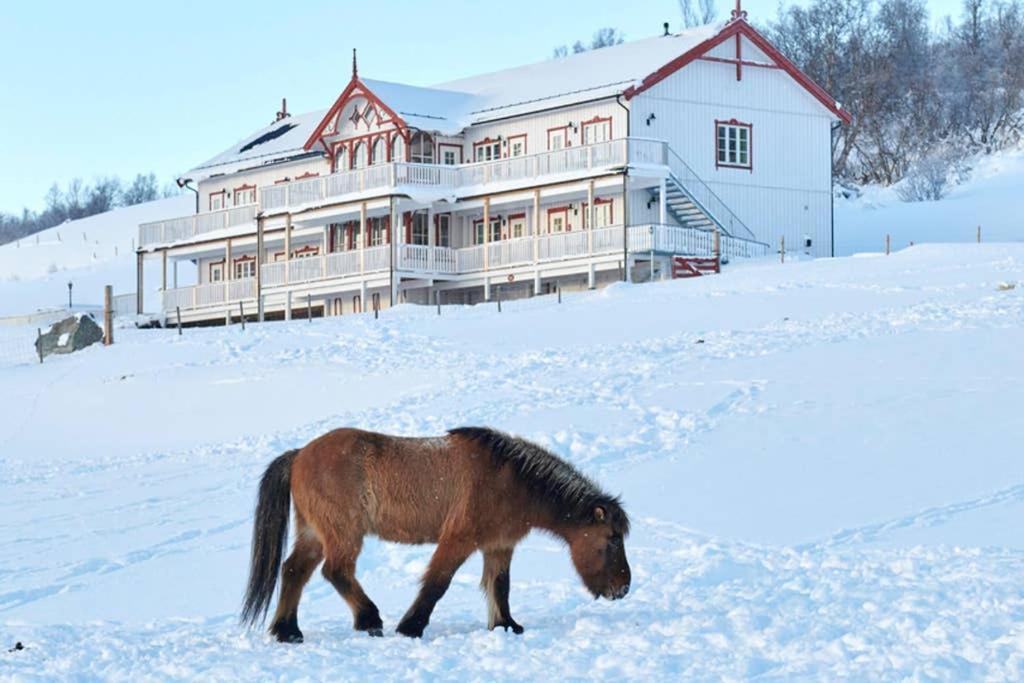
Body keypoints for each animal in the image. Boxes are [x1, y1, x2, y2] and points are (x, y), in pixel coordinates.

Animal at [240, 428, 630, 643]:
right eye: (612, 539)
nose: (623, 589)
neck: (512, 480)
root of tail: (299, 455)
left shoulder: (499, 546)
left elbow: (499, 587)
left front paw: (505, 626)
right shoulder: (459, 540)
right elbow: (437, 583)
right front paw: (411, 627)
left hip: (314, 534)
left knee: (294, 571)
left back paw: (288, 632)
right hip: (342, 534)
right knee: (336, 571)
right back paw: (369, 620)